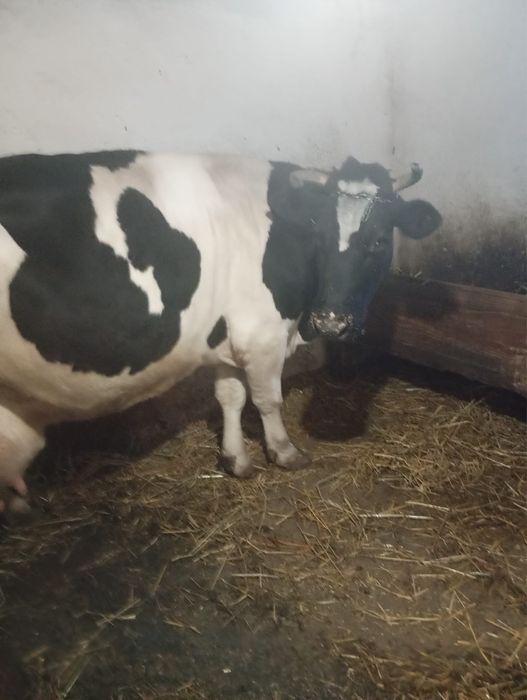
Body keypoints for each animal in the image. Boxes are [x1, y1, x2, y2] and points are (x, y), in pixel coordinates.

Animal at [0, 151, 441, 513]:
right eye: (318, 235)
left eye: (379, 241)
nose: (331, 321)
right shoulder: (262, 335)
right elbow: (267, 400)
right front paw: (285, 452)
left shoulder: (230, 337)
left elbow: (230, 396)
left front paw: (235, 459)